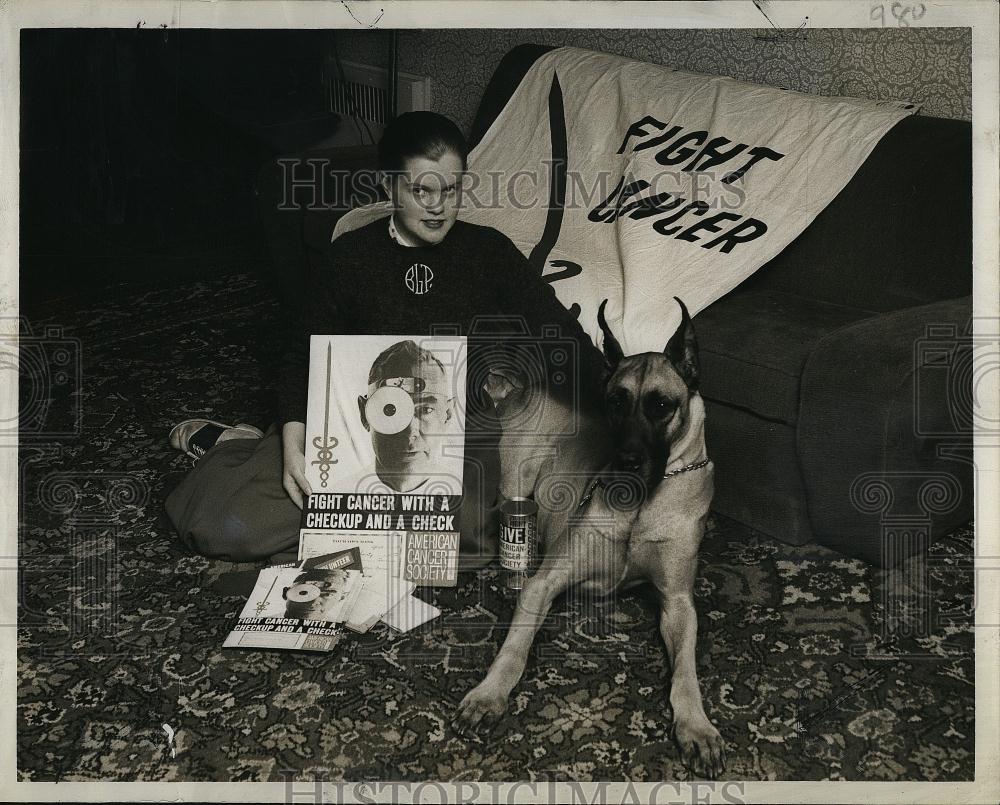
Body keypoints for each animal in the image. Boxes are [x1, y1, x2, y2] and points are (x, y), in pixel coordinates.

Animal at [456, 298, 728, 776]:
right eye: (615, 401)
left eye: (661, 405)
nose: (626, 460)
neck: (641, 507)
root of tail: (518, 388)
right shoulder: (543, 583)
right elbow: (514, 648)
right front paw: (488, 696)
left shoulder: (678, 602)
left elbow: (685, 673)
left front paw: (697, 727)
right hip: (514, 476)